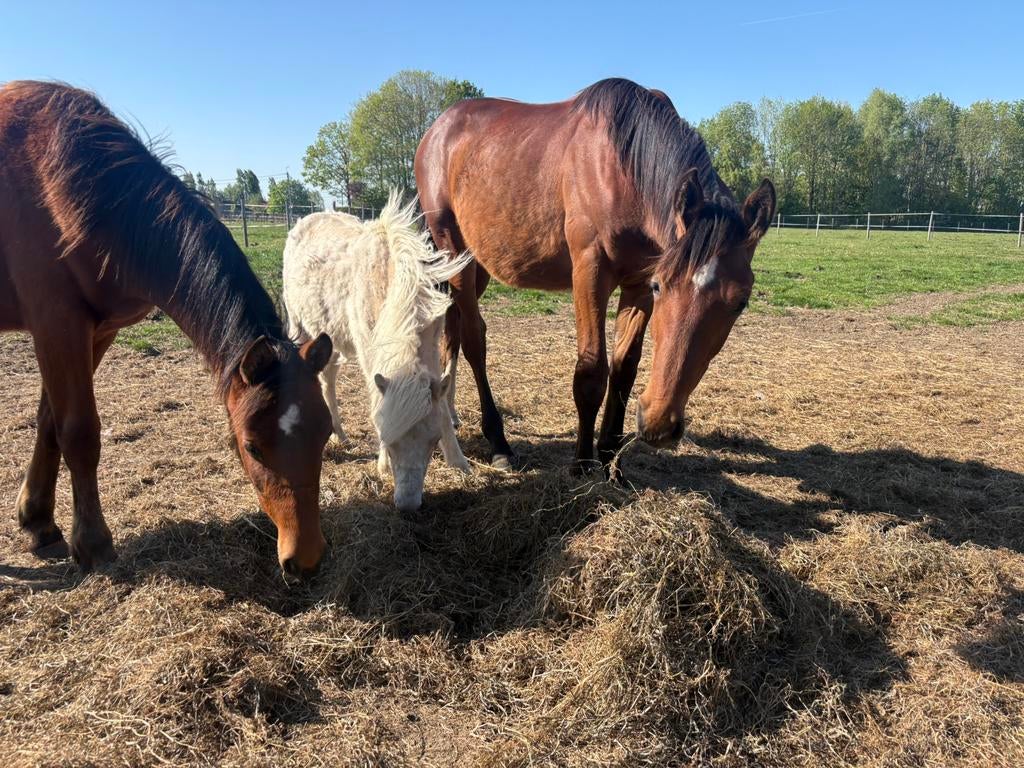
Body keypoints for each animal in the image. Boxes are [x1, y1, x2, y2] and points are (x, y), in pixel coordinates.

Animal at [0, 82, 334, 579]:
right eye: (252, 447)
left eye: (326, 433)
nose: (306, 559)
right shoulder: (56, 324)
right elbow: (78, 430)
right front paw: (92, 544)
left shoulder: (96, 331)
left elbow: (49, 423)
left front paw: (38, 522)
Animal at [282, 192, 472, 512]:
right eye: (387, 441)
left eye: (433, 441)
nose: (407, 505)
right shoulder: (368, 350)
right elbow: (376, 401)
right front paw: (382, 464)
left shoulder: (431, 349)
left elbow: (442, 403)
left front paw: (460, 462)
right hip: (300, 327)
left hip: (332, 338)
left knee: (327, 380)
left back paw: (340, 435)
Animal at [415, 78, 776, 476]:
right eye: (663, 287)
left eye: (740, 302)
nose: (659, 424)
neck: (624, 168)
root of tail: (437, 130)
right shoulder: (591, 272)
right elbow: (591, 373)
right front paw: (582, 462)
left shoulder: (636, 284)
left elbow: (624, 369)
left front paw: (609, 457)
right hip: (454, 252)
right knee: (473, 340)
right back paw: (498, 443)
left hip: (475, 267)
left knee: (452, 330)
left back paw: (450, 416)